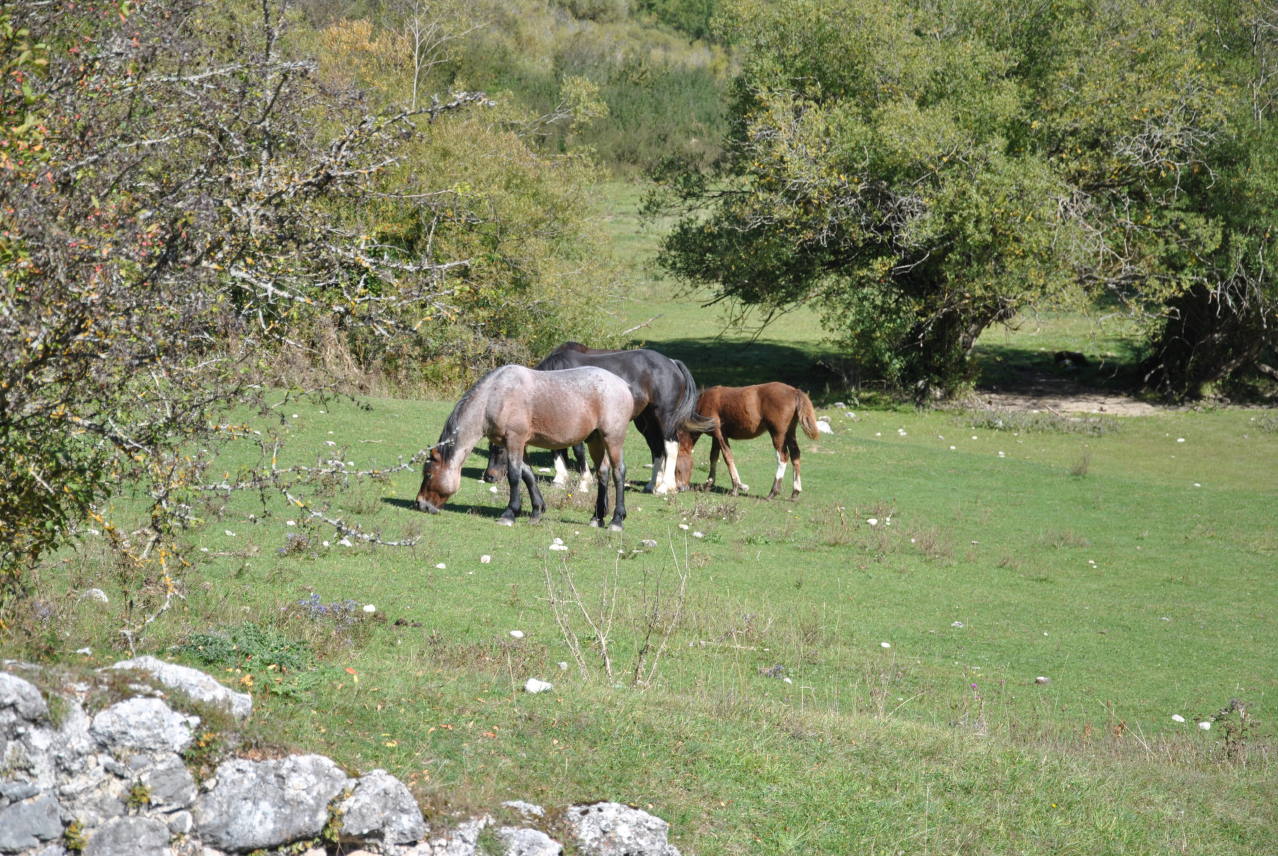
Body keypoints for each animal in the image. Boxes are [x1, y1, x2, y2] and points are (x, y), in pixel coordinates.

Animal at [419, 362, 633, 528]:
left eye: (428, 474)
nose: (420, 504)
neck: (495, 396)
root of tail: (623, 384)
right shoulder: (520, 444)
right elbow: (528, 475)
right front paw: (537, 511)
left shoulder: (514, 440)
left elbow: (514, 475)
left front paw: (509, 514)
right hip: (594, 440)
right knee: (603, 473)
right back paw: (597, 518)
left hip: (612, 438)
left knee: (618, 472)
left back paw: (616, 520)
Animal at [483, 344, 715, 495]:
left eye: (500, 450)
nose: (488, 477)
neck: (555, 375)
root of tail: (672, 363)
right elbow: (557, 448)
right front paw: (560, 478)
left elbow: (576, 451)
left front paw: (583, 482)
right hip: (647, 421)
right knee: (657, 448)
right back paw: (651, 485)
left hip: (664, 417)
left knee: (671, 446)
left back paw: (666, 486)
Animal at [679, 383, 817, 503]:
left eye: (677, 469)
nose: (680, 488)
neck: (705, 401)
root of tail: (794, 391)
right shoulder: (716, 437)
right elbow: (714, 457)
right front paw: (708, 484)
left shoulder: (719, 433)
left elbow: (727, 457)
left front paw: (737, 486)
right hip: (790, 433)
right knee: (795, 455)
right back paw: (795, 492)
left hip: (778, 434)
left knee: (783, 457)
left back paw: (772, 492)